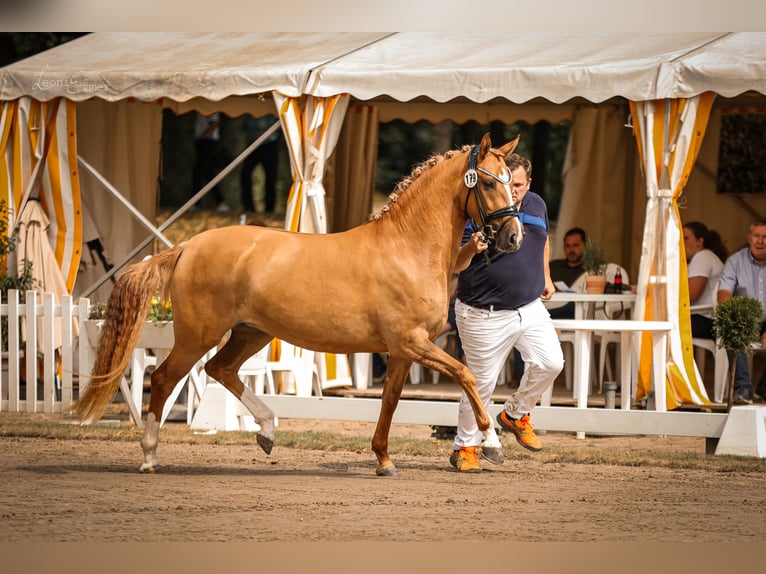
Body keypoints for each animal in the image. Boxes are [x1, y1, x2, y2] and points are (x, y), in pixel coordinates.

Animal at [75, 133, 524, 480]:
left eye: (510, 182)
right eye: (488, 185)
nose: (514, 237)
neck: (407, 246)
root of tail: (187, 245)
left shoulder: (400, 352)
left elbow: (390, 402)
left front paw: (383, 459)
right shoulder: (412, 343)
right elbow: (466, 376)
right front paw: (493, 443)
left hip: (251, 333)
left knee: (220, 369)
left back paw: (267, 431)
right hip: (198, 335)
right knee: (167, 378)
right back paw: (150, 457)